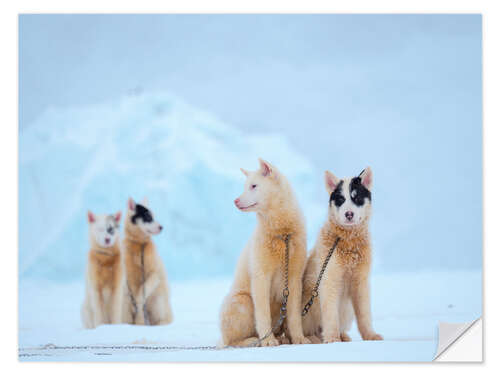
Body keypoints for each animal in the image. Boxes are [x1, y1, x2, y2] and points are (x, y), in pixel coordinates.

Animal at [221, 159, 310, 346]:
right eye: (245, 186)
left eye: (254, 186)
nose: (235, 201)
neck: (281, 233)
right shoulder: (261, 277)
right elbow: (263, 314)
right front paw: (268, 341)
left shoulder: (294, 278)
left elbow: (294, 316)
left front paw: (299, 338)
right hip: (243, 301)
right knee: (230, 342)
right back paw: (253, 340)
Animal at [300, 169, 382, 346]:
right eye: (340, 200)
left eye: (356, 198)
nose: (349, 214)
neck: (347, 240)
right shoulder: (329, 278)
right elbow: (330, 314)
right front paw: (332, 338)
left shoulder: (360, 281)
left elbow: (364, 313)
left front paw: (370, 335)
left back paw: (343, 335)